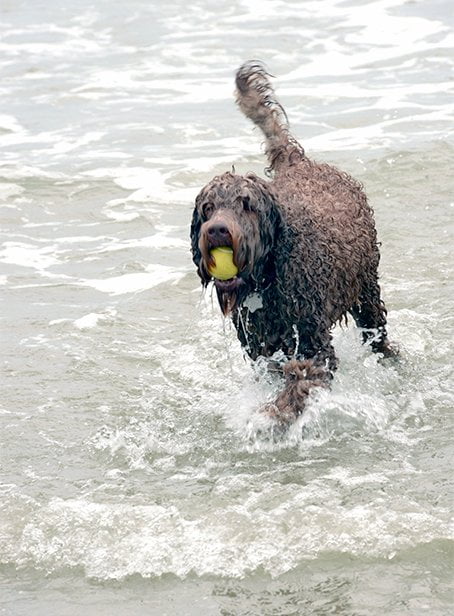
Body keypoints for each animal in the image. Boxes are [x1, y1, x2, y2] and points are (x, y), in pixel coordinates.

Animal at [190, 62, 396, 426]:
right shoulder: (261, 348)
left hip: (366, 289)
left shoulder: (312, 344)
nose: (217, 231)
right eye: (208, 208)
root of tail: (300, 163)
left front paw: (274, 414)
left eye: (247, 204)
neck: (267, 279)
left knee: (376, 330)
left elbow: (300, 382)